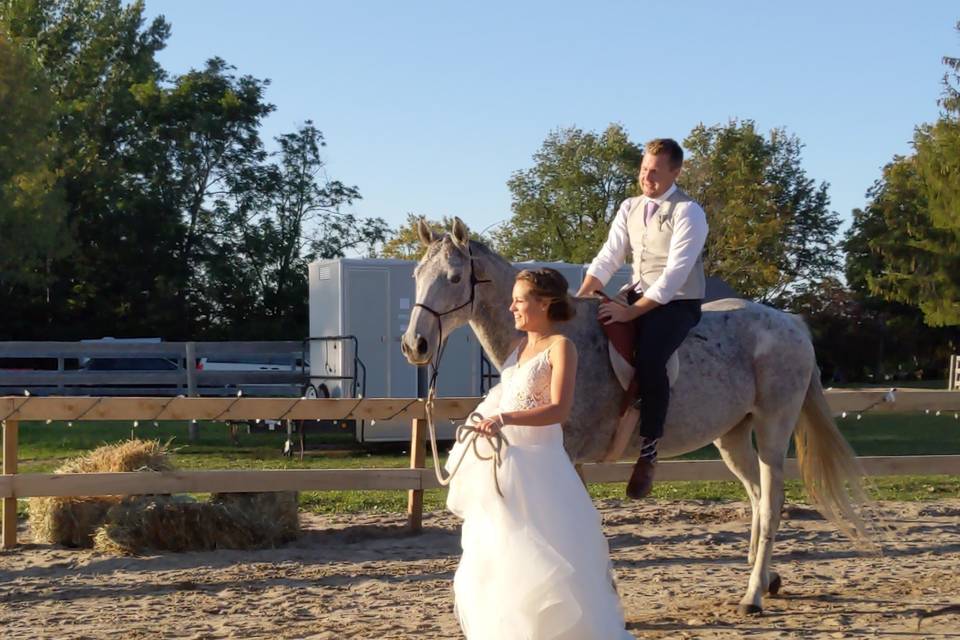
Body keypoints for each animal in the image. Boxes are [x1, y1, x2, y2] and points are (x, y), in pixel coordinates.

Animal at [402, 216, 872, 616]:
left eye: (455, 278)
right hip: (733, 436)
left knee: (772, 502)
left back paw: (753, 595)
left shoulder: (569, 454)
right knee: (757, 499)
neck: (558, 330)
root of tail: (790, 323)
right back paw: (767, 578)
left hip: (774, 427)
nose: (415, 345)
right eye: (417, 276)